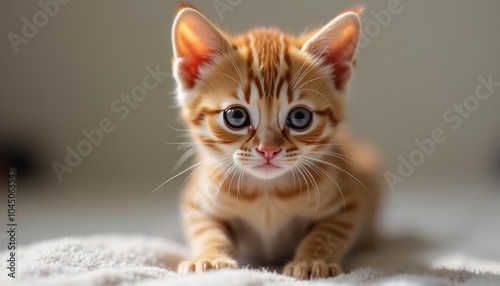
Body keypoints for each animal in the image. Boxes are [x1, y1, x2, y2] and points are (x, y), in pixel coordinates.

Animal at [171, 5, 378, 280]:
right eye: (236, 116)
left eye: (299, 117)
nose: (268, 149)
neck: (265, 193)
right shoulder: (196, 203)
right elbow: (207, 231)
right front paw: (210, 257)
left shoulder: (347, 205)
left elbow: (326, 234)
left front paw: (311, 261)